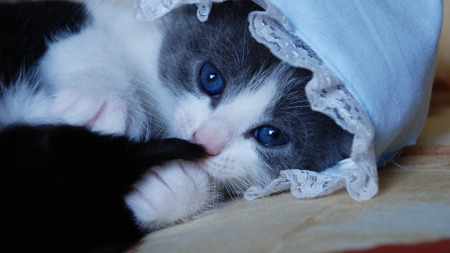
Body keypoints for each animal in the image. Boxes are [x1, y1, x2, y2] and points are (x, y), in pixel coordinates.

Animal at [0, 0, 354, 252]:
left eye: (271, 135)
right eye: (211, 77)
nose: (205, 140)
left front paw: (165, 186)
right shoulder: (55, 14)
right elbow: (78, 35)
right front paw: (102, 101)